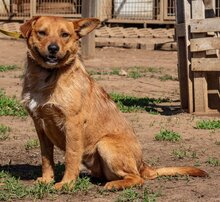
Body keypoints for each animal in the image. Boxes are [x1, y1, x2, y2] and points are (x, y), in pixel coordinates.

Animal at [19, 16, 207, 190]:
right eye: (42, 32)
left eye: (65, 35)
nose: (53, 48)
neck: (45, 77)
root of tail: (143, 164)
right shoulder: (40, 125)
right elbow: (46, 157)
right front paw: (47, 179)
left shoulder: (72, 124)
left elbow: (71, 157)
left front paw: (67, 183)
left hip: (105, 144)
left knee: (137, 178)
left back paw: (114, 185)